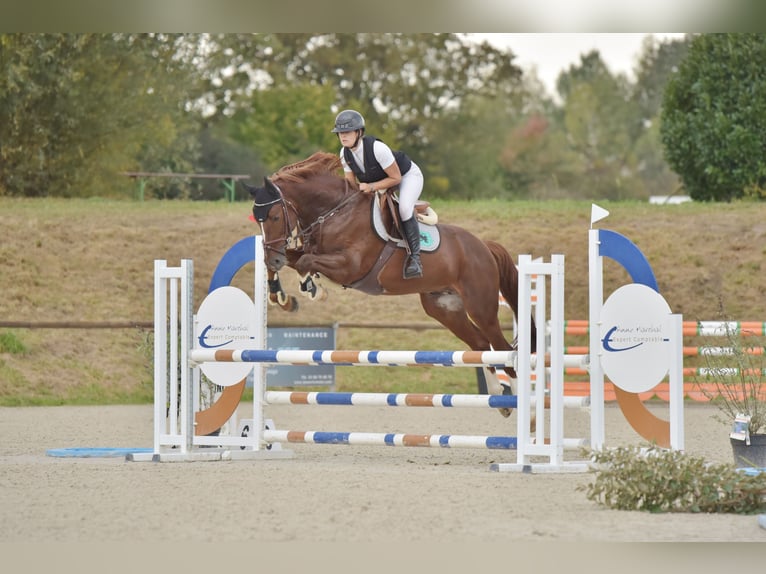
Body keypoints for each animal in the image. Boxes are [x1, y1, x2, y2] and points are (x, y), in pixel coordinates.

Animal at [246, 153, 536, 414]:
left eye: (274, 217)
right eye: (258, 220)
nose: (273, 258)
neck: (333, 213)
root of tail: (483, 246)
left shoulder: (350, 266)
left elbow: (305, 262)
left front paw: (313, 288)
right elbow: (297, 259)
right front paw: (282, 297)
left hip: (480, 306)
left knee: (502, 348)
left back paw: (519, 405)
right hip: (444, 308)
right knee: (480, 344)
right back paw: (499, 399)